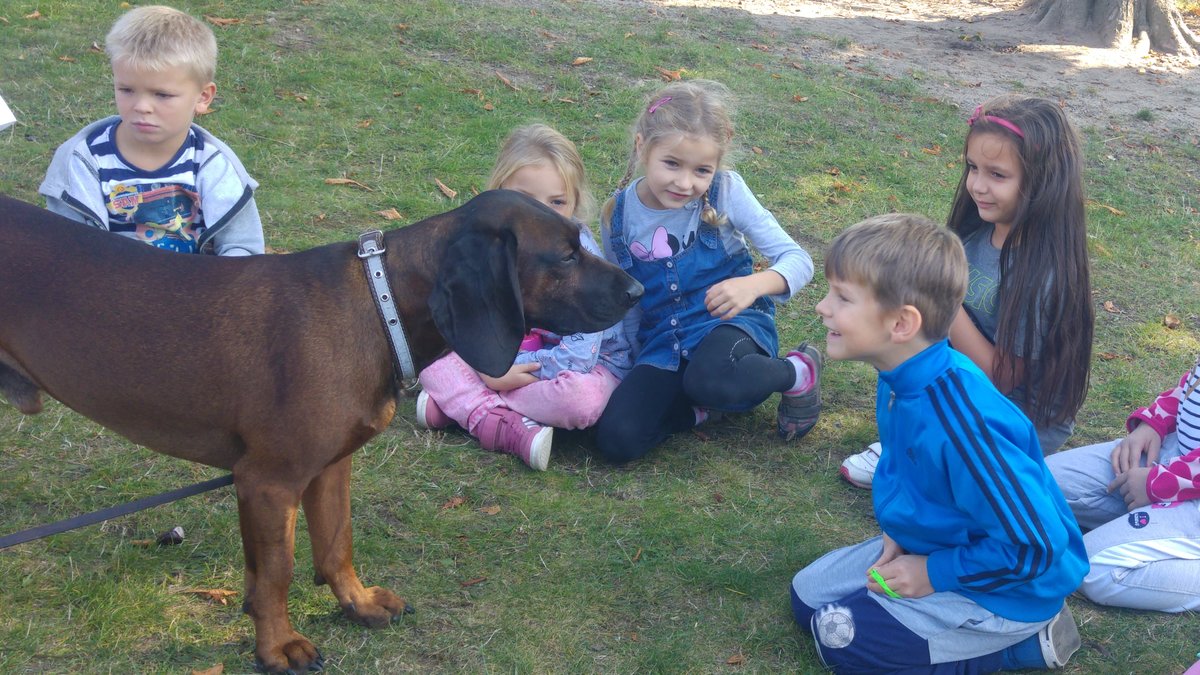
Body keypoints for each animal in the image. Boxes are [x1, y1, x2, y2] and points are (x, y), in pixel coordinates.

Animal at [0, 189, 642, 672]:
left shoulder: (330, 467)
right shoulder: (268, 481)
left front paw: (356, 605)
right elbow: (277, 573)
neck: (378, 305)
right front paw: (278, 647)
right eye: (564, 256)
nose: (639, 291)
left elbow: (336, 544)